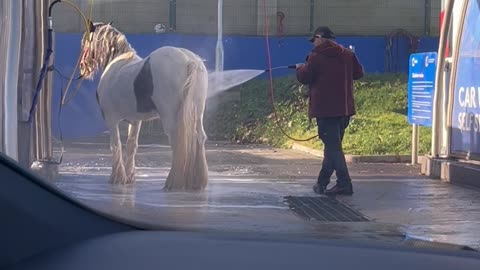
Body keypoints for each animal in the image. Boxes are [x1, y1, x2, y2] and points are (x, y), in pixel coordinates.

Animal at [79, 22, 209, 191]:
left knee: (177, 141)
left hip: (170, 117)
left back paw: (173, 182)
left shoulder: (111, 120)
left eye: (86, 41)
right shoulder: (135, 121)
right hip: (198, 112)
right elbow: (131, 145)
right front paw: (129, 177)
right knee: (199, 137)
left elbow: (116, 145)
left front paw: (117, 177)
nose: (83, 65)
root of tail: (189, 61)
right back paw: (197, 182)